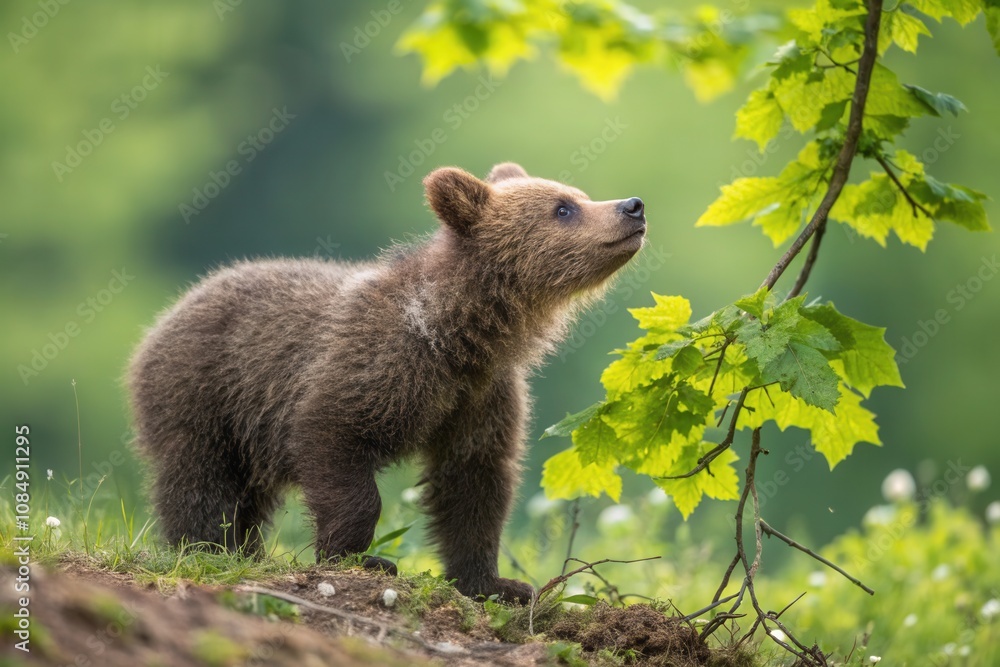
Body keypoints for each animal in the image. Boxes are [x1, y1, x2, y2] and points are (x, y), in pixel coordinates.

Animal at [127, 162, 646, 603]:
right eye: (563, 207)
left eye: (579, 195)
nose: (633, 206)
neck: (458, 335)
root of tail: (172, 310)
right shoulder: (375, 366)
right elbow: (336, 444)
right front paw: (359, 558)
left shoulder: (480, 397)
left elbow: (474, 484)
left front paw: (496, 583)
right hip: (204, 393)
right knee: (201, 478)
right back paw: (207, 548)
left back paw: (245, 551)